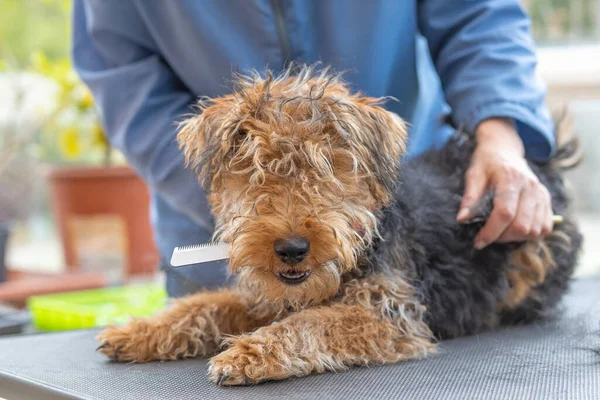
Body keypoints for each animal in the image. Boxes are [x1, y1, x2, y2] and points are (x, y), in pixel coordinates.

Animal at [97, 65, 580, 384]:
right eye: (257, 172)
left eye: (328, 171)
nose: (292, 248)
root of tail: (548, 166)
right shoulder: (267, 297)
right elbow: (203, 306)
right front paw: (138, 330)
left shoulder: (389, 314)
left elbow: (315, 324)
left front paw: (252, 352)